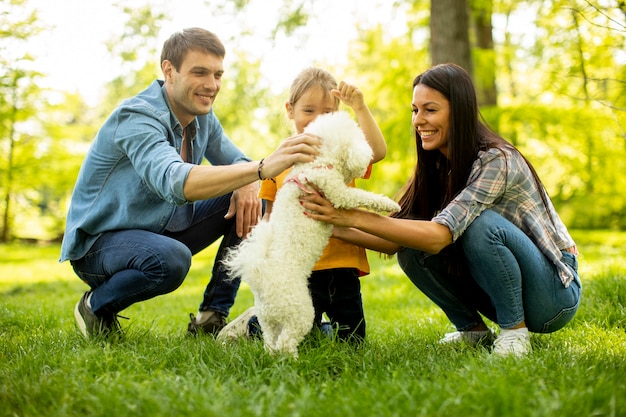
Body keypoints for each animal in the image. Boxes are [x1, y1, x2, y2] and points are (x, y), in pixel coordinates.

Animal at [224, 111, 398, 358]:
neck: (315, 164)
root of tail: (263, 278)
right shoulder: (337, 191)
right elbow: (360, 196)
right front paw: (389, 203)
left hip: (268, 320)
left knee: (271, 342)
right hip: (300, 312)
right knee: (286, 342)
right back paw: (294, 360)